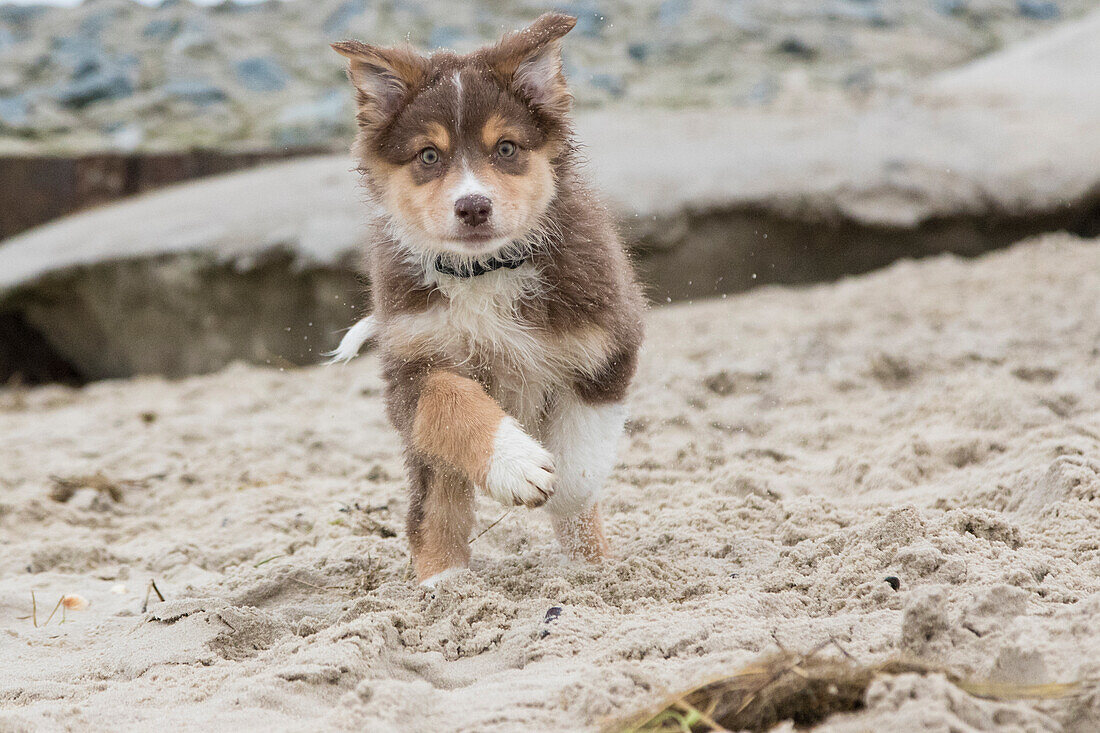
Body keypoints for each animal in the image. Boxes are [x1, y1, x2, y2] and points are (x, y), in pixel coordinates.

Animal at [327, 12, 642, 581]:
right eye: (429, 156)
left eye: (507, 149)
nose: (473, 206)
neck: (484, 271)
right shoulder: (410, 368)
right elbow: (448, 400)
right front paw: (517, 466)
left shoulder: (609, 343)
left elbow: (581, 465)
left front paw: (568, 506)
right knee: (433, 510)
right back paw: (445, 587)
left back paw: (593, 568)